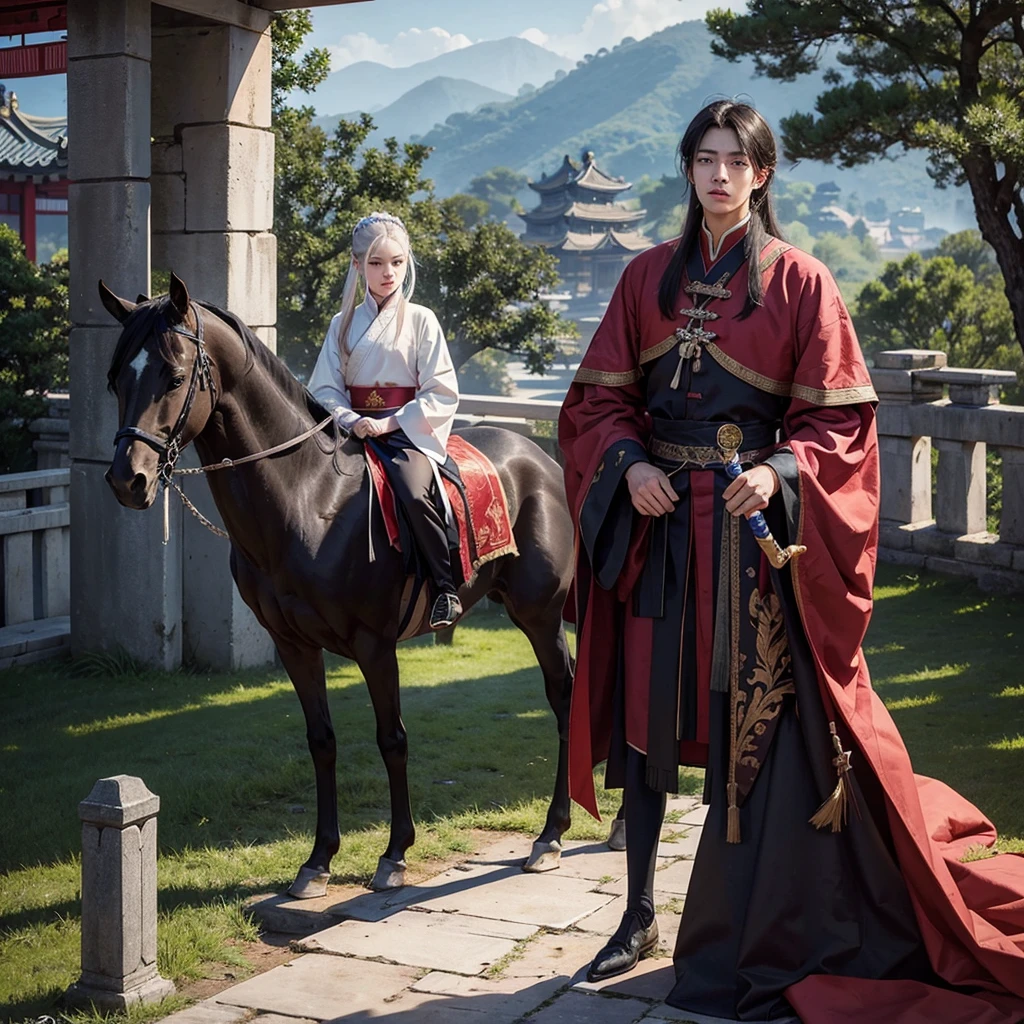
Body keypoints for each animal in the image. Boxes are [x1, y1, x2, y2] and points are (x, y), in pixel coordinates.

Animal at [103, 274, 581, 897]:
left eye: (175, 377)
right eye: (117, 378)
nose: (127, 478)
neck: (307, 501)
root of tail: (541, 460)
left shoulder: (375, 644)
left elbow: (391, 738)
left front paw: (395, 853)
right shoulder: (293, 644)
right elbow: (322, 741)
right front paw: (317, 860)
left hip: (540, 611)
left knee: (565, 695)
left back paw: (553, 832)